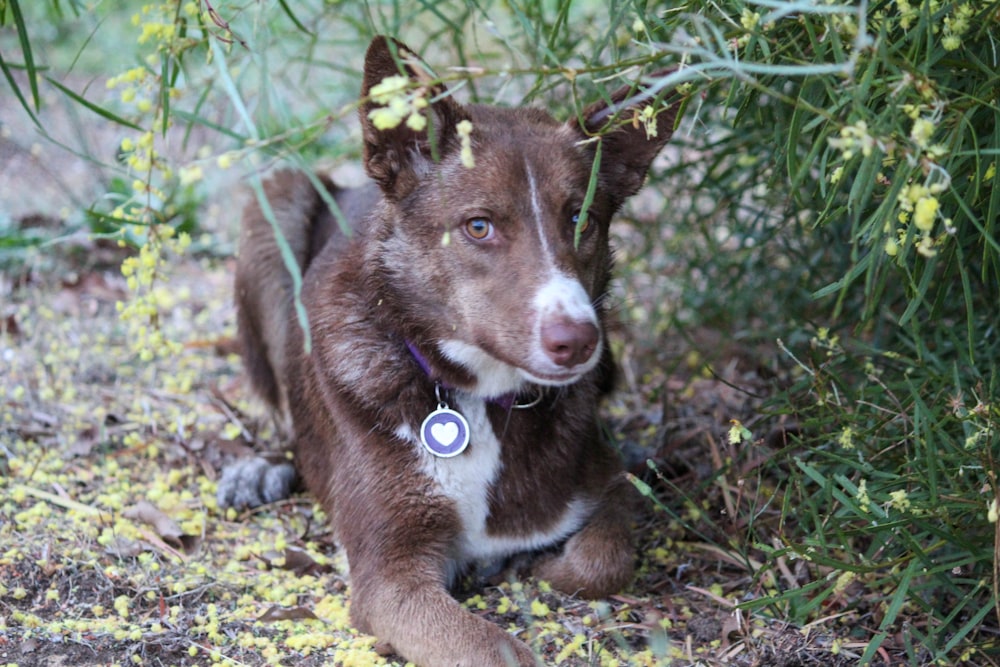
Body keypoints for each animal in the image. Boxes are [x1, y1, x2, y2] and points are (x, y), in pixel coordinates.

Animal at [221, 36, 680, 667]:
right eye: (479, 226)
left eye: (580, 219)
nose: (579, 341)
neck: (480, 397)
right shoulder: (390, 573)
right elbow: (492, 649)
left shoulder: (605, 483)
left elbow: (604, 558)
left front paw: (541, 563)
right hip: (277, 198)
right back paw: (260, 469)